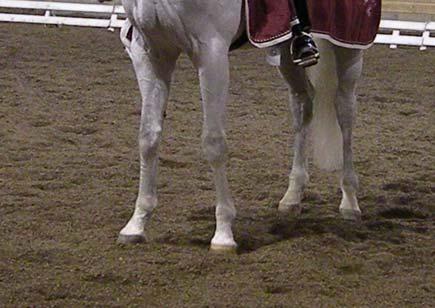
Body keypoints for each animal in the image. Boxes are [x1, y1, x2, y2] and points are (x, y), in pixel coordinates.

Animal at [116, 0, 364, 250]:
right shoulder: (150, 51)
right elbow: (148, 138)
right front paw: (136, 224)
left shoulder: (212, 52)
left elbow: (214, 143)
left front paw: (223, 234)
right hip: (286, 53)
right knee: (303, 103)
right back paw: (292, 196)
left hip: (349, 47)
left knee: (345, 112)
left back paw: (349, 201)